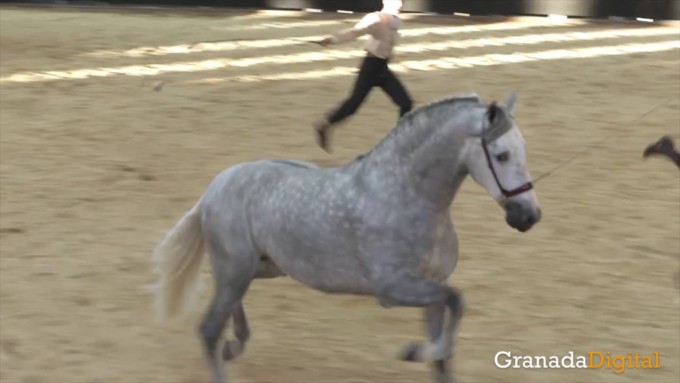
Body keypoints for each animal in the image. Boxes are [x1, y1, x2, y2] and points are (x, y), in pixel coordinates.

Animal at [153, 91, 540, 382]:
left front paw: (425, 352)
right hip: (237, 269)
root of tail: (214, 188)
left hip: (261, 267)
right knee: (208, 329)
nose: (529, 216)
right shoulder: (394, 289)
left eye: (524, 149)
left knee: (228, 308)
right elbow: (456, 305)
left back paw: (236, 344)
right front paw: (411, 351)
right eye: (502, 155)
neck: (406, 195)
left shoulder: (433, 286)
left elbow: (445, 351)